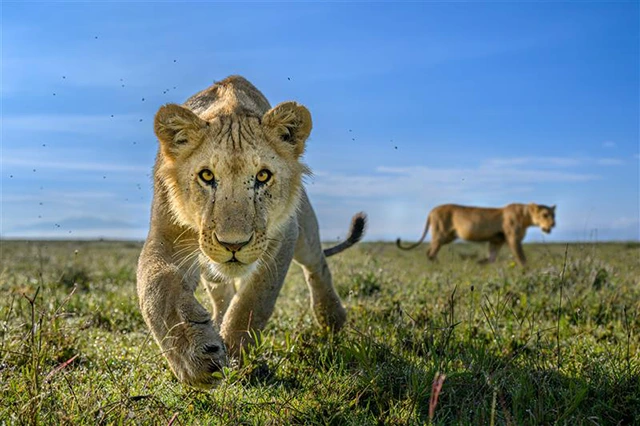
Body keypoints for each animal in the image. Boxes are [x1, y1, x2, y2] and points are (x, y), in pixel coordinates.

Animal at [137, 75, 367, 386]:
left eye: (262, 176)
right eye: (207, 176)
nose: (233, 245)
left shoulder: (284, 235)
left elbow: (255, 299)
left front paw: (235, 351)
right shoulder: (167, 236)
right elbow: (157, 287)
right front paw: (195, 356)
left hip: (304, 229)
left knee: (317, 264)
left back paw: (331, 317)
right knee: (220, 291)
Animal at [396, 203, 556, 266]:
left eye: (553, 214)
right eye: (545, 214)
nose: (553, 224)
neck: (527, 216)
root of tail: (432, 210)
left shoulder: (497, 240)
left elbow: (492, 257)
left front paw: (480, 263)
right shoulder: (513, 238)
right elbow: (521, 257)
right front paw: (527, 270)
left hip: (447, 236)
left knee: (429, 250)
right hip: (442, 233)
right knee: (431, 252)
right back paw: (438, 266)